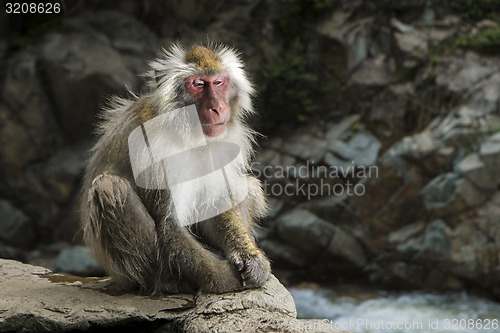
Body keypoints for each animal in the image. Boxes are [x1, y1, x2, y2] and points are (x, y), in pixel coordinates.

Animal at [81, 43, 270, 294]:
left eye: (218, 82)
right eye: (198, 84)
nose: (217, 107)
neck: (188, 132)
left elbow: (215, 205)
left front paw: (251, 258)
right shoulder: (154, 149)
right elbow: (170, 223)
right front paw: (225, 279)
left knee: (246, 184)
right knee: (109, 186)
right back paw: (166, 281)